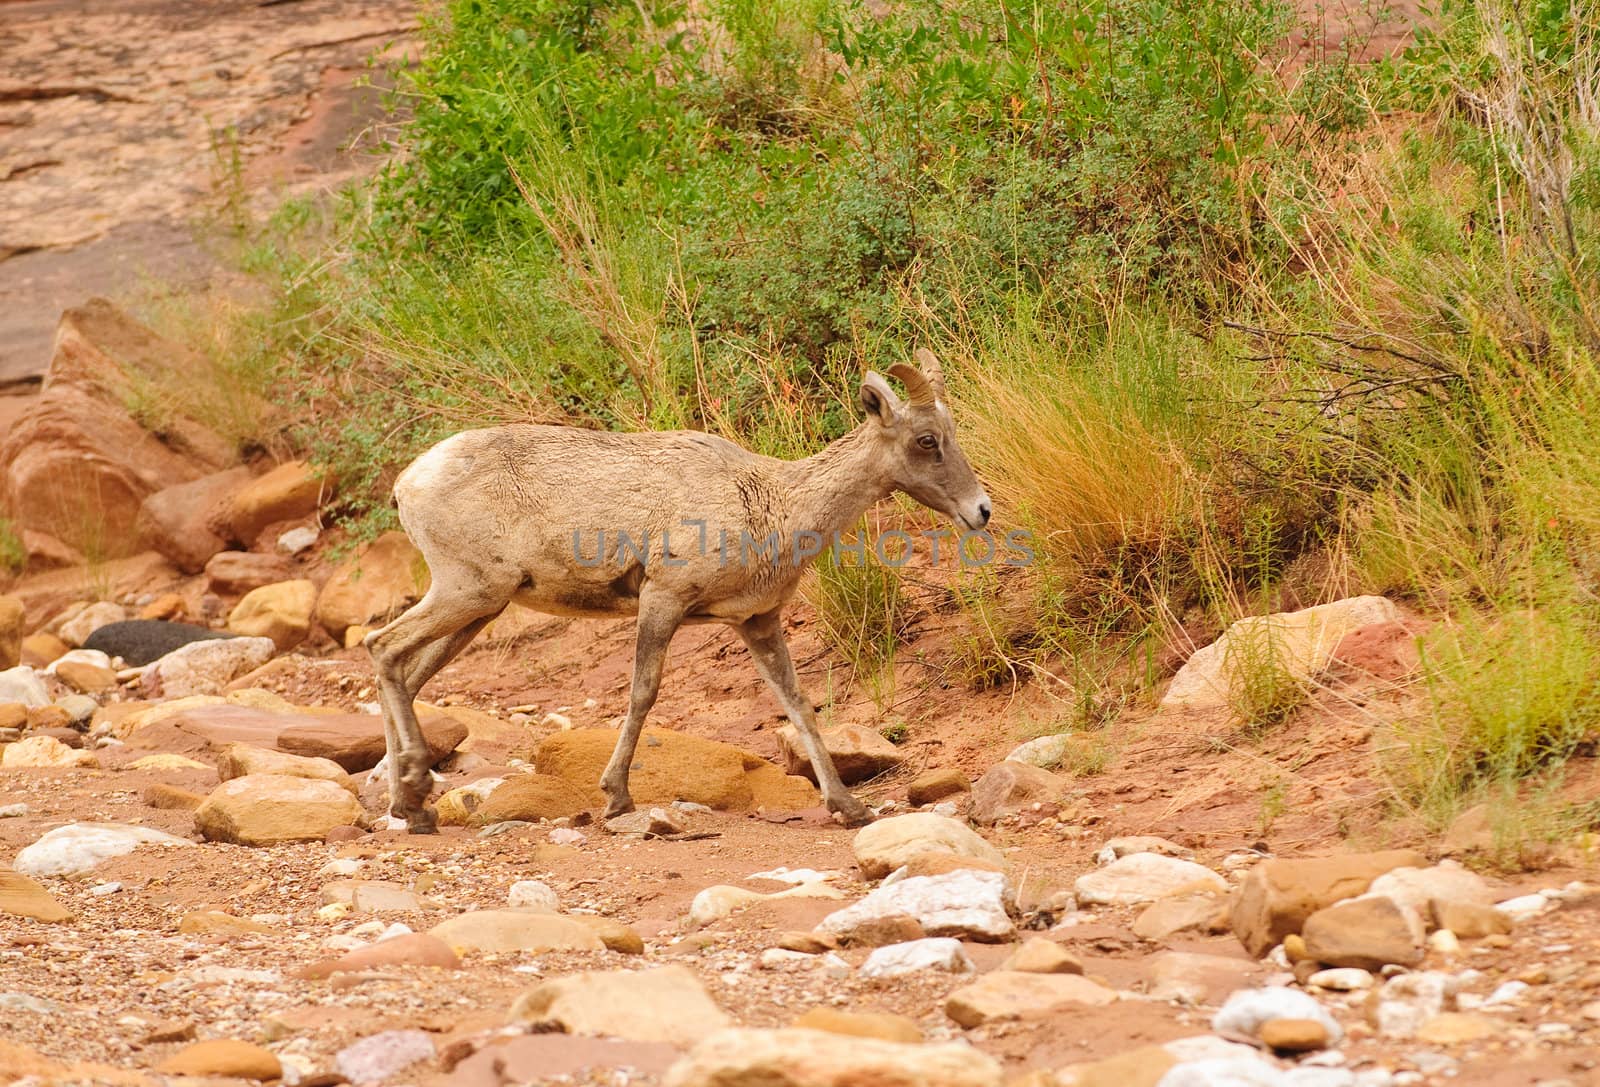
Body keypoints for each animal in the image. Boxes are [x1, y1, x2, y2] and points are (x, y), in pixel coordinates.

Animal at [366, 352, 985, 826]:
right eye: (927, 440)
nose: (981, 510)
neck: (772, 502)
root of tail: (407, 484)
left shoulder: (756, 621)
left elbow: (798, 703)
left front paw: (850, 807)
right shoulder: (662, 600)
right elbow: (643, 694)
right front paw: (617, 797)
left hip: (478, 610)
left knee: (405, 672)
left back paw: (407, 806)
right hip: (467, 592)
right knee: (383, 648)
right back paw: (414, 796)